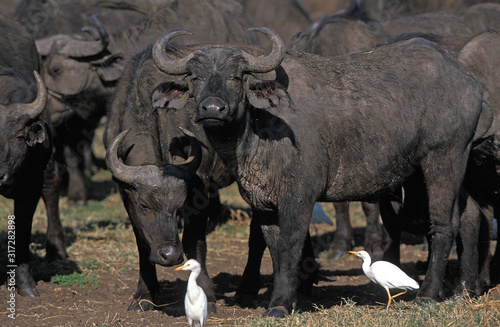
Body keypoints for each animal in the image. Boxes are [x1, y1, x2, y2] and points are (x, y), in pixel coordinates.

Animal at [151, 28, 484, 318]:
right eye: (196, 78)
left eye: (235, 77)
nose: (212, 108)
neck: (259, 131)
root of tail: (466, 79)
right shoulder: (264, 205)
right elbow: (275, 249)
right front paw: (285, 298)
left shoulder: (299, 199)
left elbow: (291, 245)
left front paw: (280, 304)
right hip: (440, 168)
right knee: (469, 216)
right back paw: (464, 289)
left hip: (444, 157)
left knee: (443, 224)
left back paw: (428, 293)